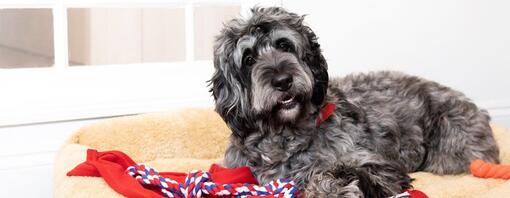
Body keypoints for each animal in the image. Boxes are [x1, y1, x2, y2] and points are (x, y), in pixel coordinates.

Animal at [207, 6, 498, 197]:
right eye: (248, 59)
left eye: (284, 45)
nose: (282, 80)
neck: (285, 136)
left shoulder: (377, 165)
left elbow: (334, 173)